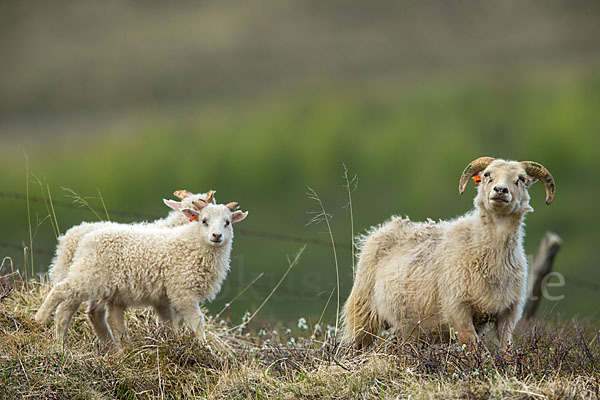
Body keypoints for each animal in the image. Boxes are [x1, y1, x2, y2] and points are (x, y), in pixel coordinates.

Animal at [34, 196, 246, 344]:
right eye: (204, 220)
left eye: (227, 222)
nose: (217, 236)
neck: (191, 242)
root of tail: (83, 239)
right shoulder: (183, 291)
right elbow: (198, 322)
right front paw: (204, 347)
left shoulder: (169, 297)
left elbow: (173, 322)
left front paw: (174, 340)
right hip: (88, 275)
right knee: (61, 295)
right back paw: (42, 321)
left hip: (103, 285)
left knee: (97, 315)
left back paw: (114, 348)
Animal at [340, 156, 556, 350]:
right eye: (487, 175)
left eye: (521, 179)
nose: (501, 190)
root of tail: (386, 226)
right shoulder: (457, 309)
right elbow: (474, 348)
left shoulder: (509, 313)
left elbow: (507, 350)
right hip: (363, 312)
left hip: (406, 328)